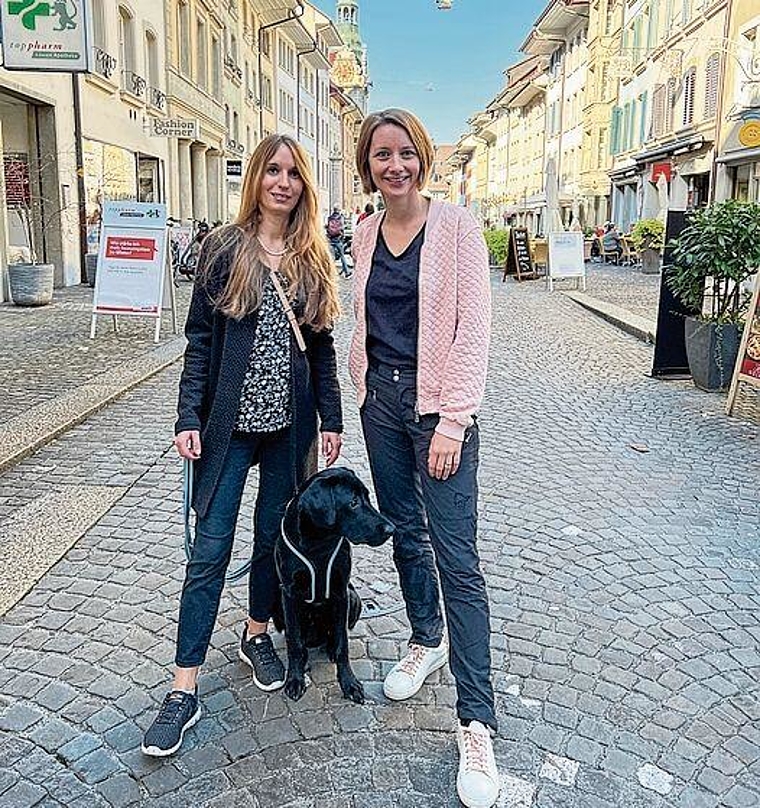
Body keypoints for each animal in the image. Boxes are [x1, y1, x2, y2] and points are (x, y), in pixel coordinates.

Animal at [274, 468, 392, 700]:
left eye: (367, 497)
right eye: (353, 502)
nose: (391, 529)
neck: (318, 542)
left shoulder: (341, 592)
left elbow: (342, 644)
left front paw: (349, 683)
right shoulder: (289, 593)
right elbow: (295, 643)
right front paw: (295, 679)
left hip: (353, 598)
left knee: (334, 635)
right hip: (277, 605)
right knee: (299, 641)